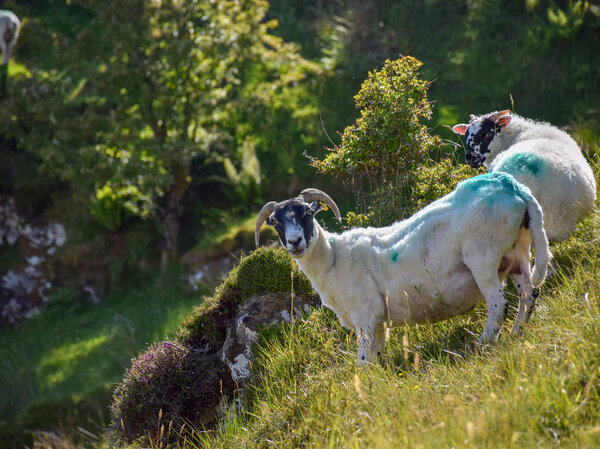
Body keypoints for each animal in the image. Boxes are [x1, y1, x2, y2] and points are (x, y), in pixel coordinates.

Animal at [255, 173, 552, 362]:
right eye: (277, 222)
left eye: (307, 212)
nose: (295, 241)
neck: (333, 260)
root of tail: (514, 188)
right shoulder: (379, 322)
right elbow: (375, 359)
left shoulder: (366, 317)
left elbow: (363, 360)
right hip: (517, 253)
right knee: (529, 294)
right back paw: (515, 334)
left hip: (482, 258)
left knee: (499, 304)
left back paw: (482, 345)